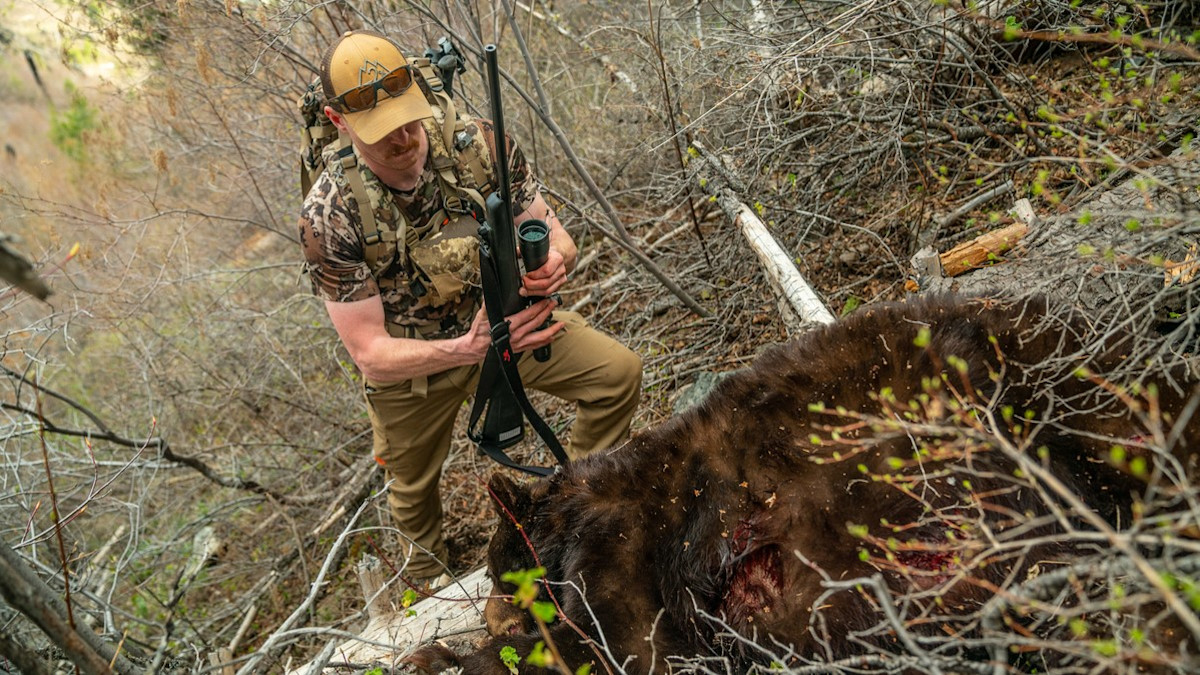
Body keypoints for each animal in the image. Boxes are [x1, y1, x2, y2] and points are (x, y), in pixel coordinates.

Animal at [413, 295, 1199, 674]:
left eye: (493, 567)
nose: (491, 608)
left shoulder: (622, 566)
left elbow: (607, 649)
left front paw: (445, 655)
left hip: (1049, 376)